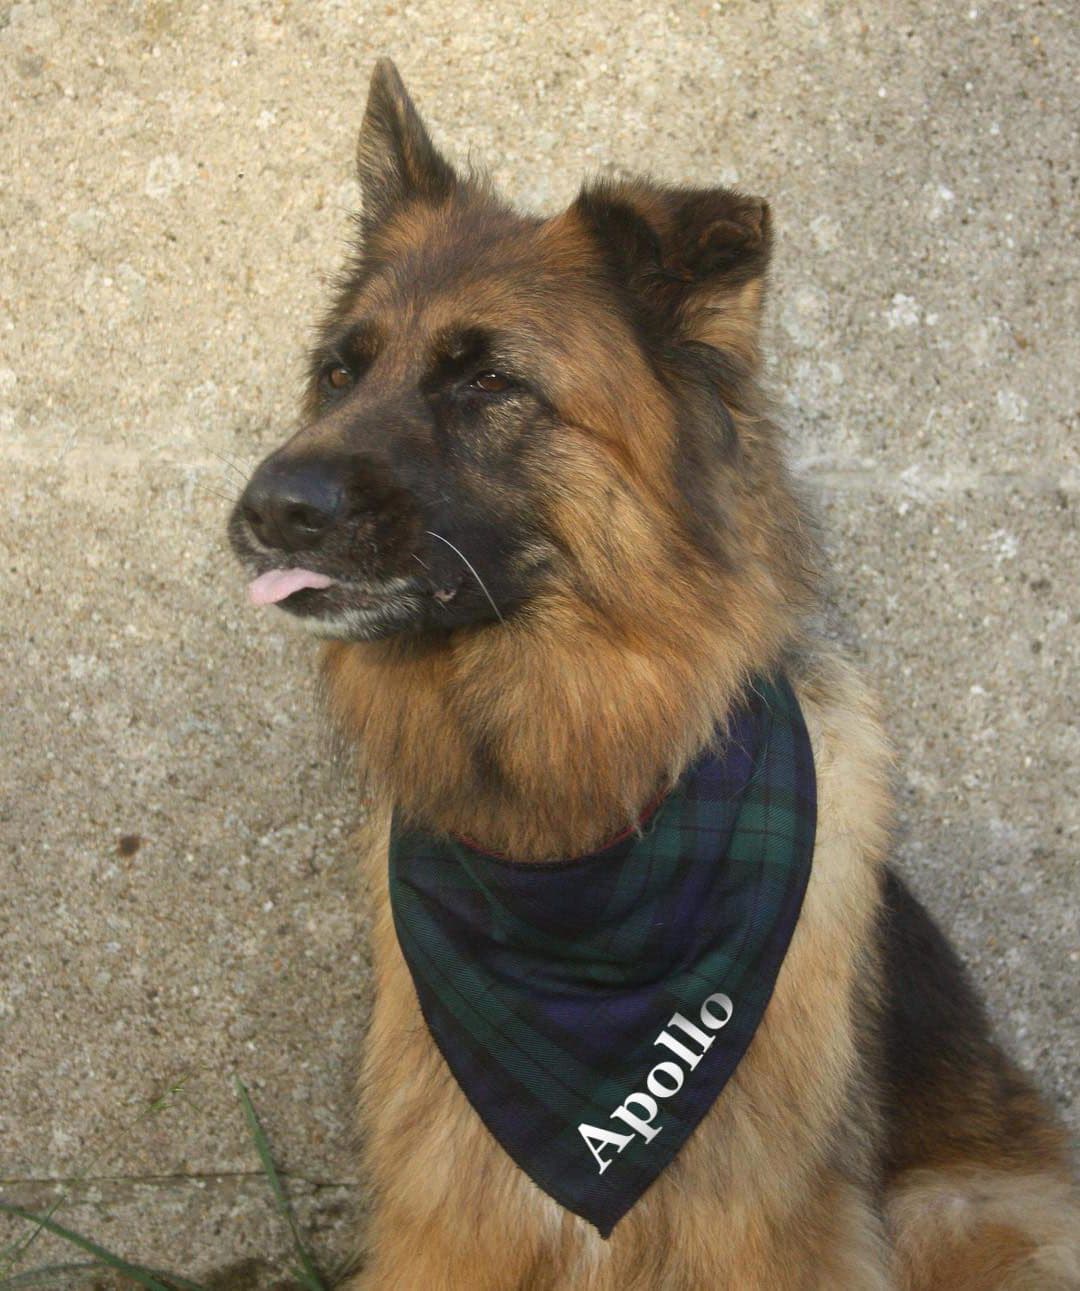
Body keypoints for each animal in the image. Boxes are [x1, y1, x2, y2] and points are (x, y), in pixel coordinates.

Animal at [229, 62, 1078, 1291]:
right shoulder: (453, 1211)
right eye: (340, 371)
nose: (266, 510)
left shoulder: (760, 1218)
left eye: (488, 380)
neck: (571, 813)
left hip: (954, 1212)